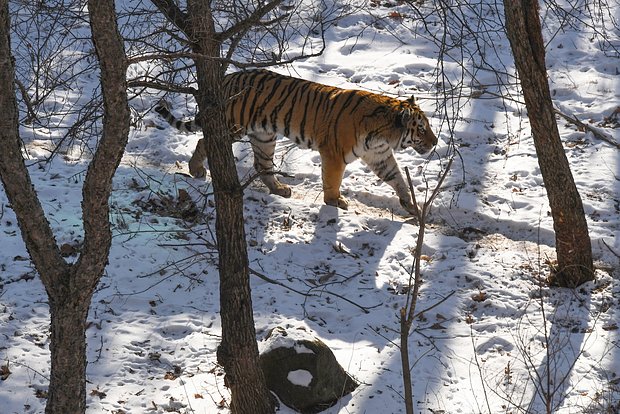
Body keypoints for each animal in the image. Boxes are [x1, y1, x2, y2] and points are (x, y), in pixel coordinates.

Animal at [154, 68, 436, 213]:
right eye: (422, 129)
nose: (434, 142)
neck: (383, 134)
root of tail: (227, 77)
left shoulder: (379, 155)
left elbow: (397, 178)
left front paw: (410, 204)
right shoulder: (333, 153)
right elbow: (332, 180)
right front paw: (334, 202)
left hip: (264, 136)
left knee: (261, 165)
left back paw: (279, 189)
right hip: (233, 126)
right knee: (204, 141)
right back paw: (196, 170)